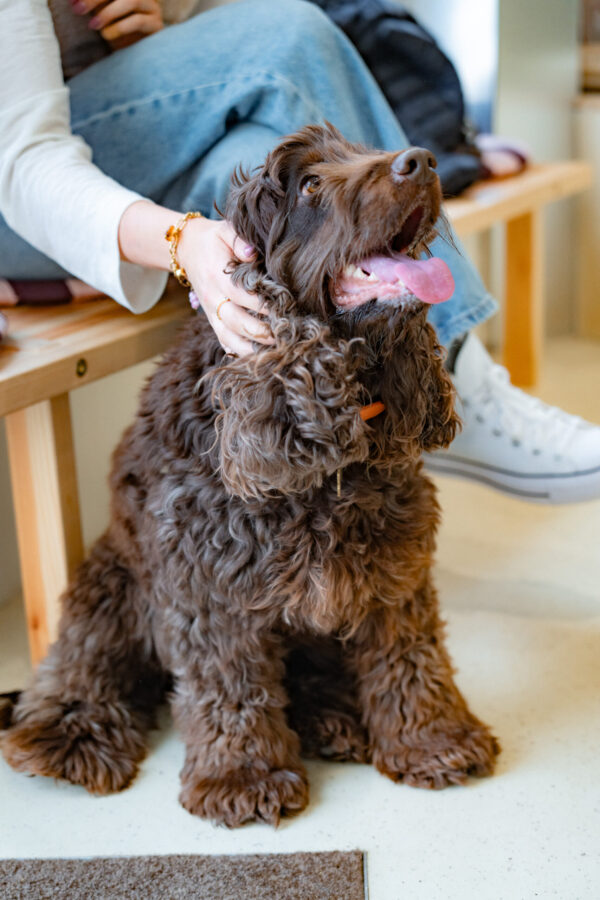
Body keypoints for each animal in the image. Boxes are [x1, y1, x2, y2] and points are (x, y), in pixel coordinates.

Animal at [1, 123, 499, 827]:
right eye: (310, 184)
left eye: (366, 148)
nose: (422, 160)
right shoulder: (210, 585)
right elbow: (230, 687)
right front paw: (243, 775)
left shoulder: (391, 562)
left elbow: (411, 655)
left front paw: (433, 740)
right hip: (113, 583)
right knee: (84, 663)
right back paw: (68, 738)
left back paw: (333, 721)